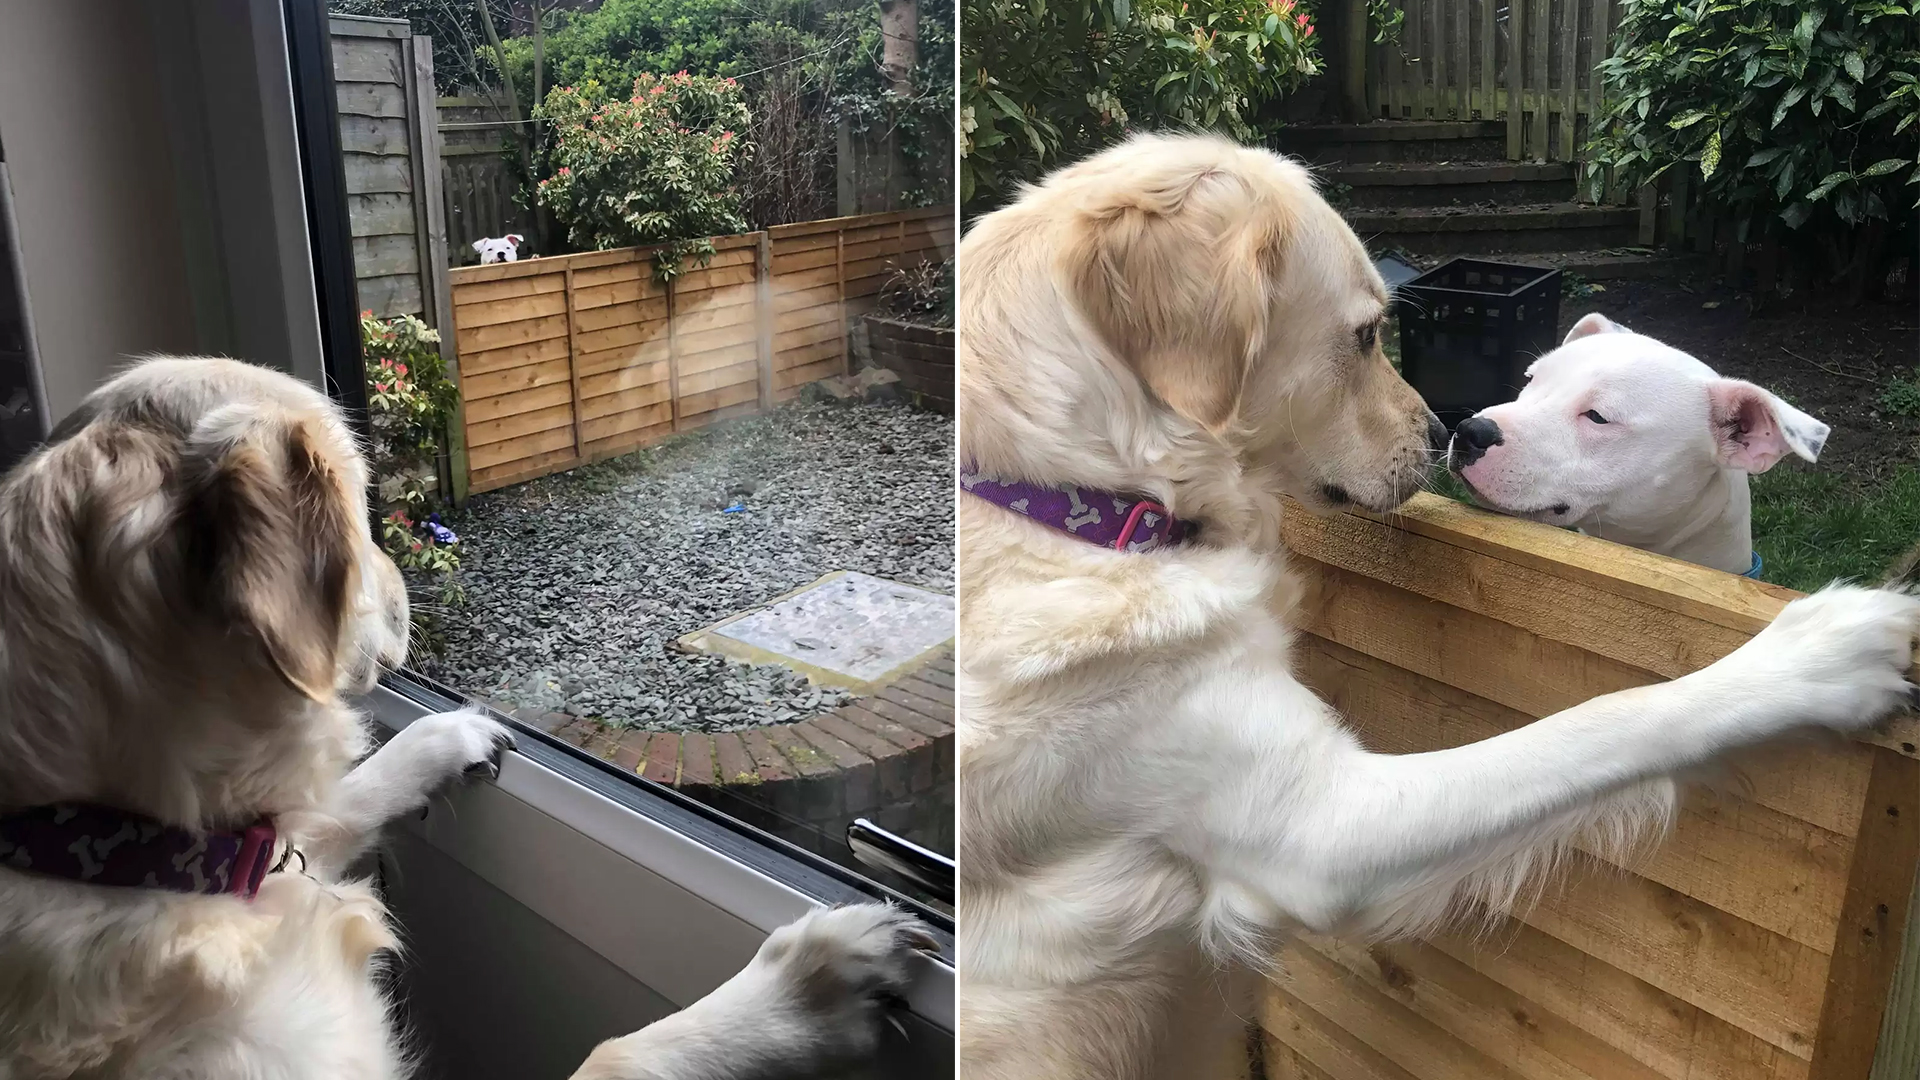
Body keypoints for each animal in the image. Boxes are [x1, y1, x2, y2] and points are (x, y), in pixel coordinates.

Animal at [0, 357, 929, 1068]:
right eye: (357, 503)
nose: (410, 590)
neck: (110, 840)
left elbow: (337, 807)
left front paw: (442, 735)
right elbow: (618, 1051)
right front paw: (806, 988)